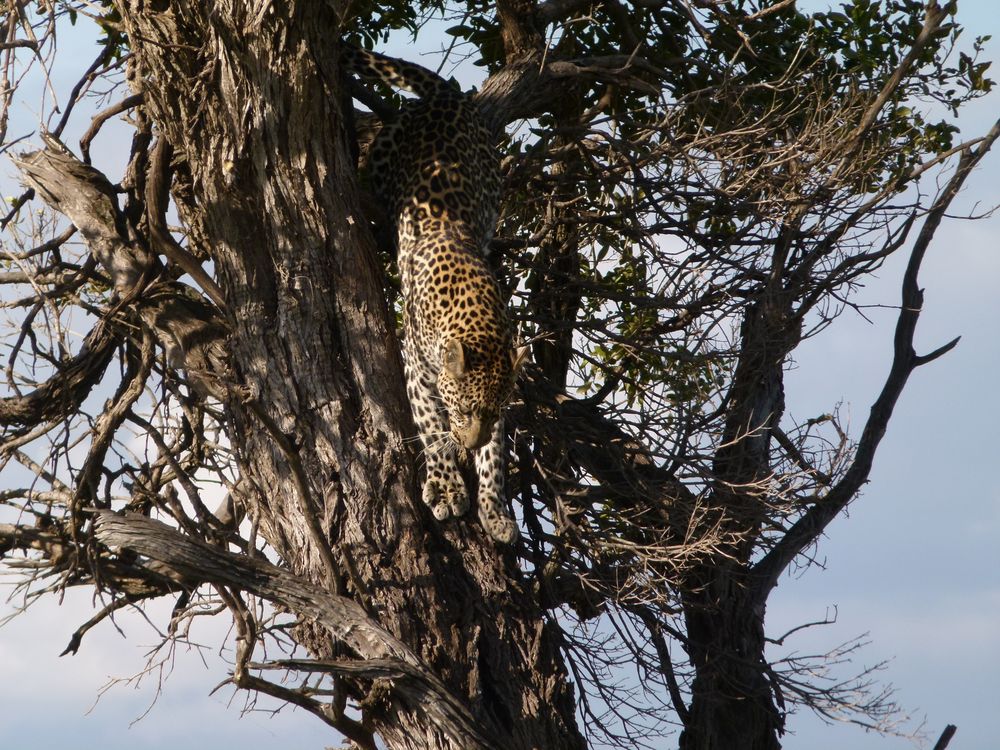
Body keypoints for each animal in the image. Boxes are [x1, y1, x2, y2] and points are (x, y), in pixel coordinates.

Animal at [342, 44, 520, 544]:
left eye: (492, 412)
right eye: (462, 408)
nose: (469, 443)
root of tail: (450, 97)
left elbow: (496, 458)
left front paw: (494, 507)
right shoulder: (417, 368)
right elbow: (429, 424)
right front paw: (445, 485)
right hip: (384, 152)